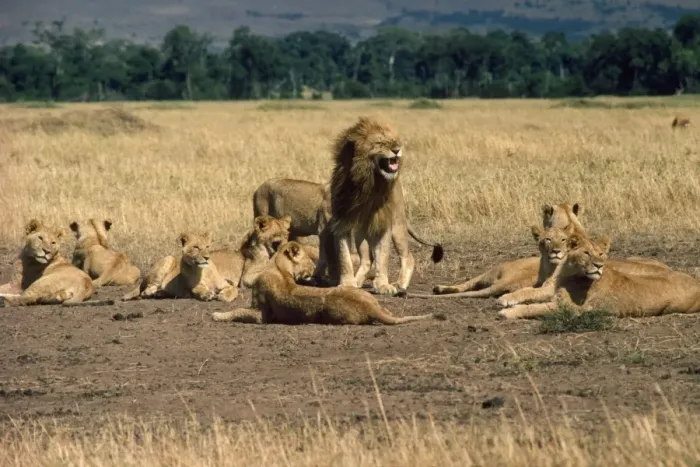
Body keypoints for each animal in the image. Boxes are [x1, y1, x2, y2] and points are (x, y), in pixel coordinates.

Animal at [211, 241, 438, 325]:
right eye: (310, 262)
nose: (315, 273)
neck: (278, 268)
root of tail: (370, 306)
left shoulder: (261, 315)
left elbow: (237, 311)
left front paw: (217, 315)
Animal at [313, 116, 443, 296]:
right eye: (380, 143)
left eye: (395, 140)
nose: (397, 150)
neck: (369, 182)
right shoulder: (342, 222)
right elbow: (344, 257)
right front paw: (347, 284)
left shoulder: (383, 223)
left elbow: (382, 256)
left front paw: (383, 285)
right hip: (360, 233)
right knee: (366, 260)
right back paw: (358, 281)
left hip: (397, 225)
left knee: (407, 256)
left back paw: (400, 284)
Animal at [498, 233, 700, 319]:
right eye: (586, 253)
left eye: (601, 254)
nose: (599, 265)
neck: (567, 272)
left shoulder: (573, 309)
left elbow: (534, 308)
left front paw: (508, 312)